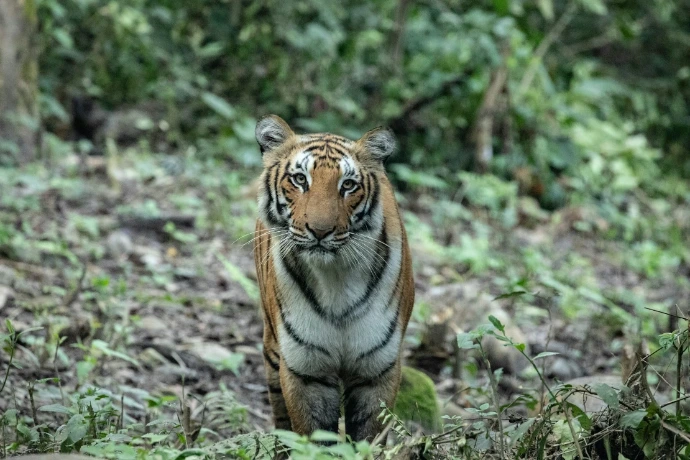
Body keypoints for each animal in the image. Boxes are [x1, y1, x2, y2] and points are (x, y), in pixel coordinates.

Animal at [252, 115, 415, 442]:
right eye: (300, 179)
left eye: (348, 185)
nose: (320, 230)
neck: (335, 278)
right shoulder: (306, 369)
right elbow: (313, 438)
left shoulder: (377, 369)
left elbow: (369, 439)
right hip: (273, 350)